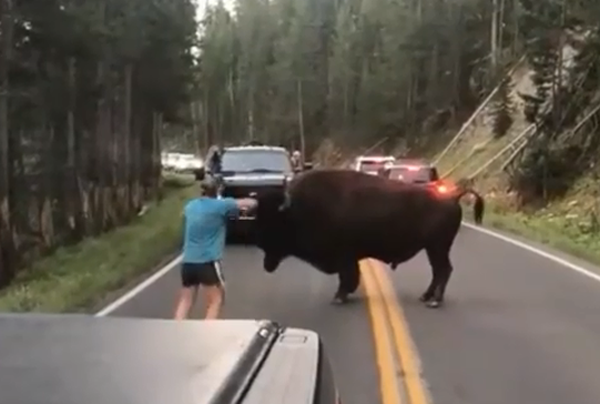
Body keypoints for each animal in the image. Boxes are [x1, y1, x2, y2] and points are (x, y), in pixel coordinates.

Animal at [252, 169, 482, 308]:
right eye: (259, 218)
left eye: (275, 223)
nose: (265, 259)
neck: (299, 209)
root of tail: (452, 197)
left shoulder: (344, 256)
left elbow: (348, 277)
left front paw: (339, 298)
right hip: (433, 248)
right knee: (438, 271)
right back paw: (426, 297)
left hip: (437, 247)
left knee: (443, 270)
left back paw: (434, 301)